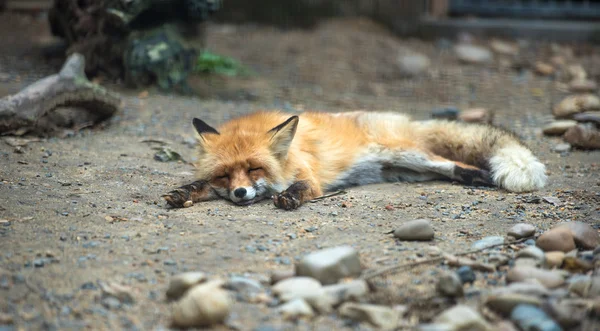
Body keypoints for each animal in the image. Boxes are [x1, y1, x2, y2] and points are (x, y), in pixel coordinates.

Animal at [164, 111, 548, 210]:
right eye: (225, 176)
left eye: (254, 168)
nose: (241, 194)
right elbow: (198, 186)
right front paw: (184, 192)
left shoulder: (309, 176)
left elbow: (301, 187)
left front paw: (288, 197)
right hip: (404, 171)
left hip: (409, 155)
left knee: (450, 161)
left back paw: (480, 175)